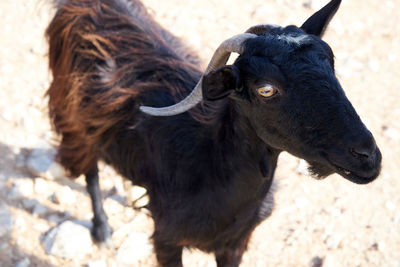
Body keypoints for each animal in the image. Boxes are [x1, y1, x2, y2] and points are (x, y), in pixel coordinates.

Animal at [47, 0, 382, 266]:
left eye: (332, 66)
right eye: (266, 89)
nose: (368, 156)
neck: (209, 163)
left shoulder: (235, 244)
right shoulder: (166, 239)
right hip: (73, 115)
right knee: (89, 168)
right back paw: (102, 230)